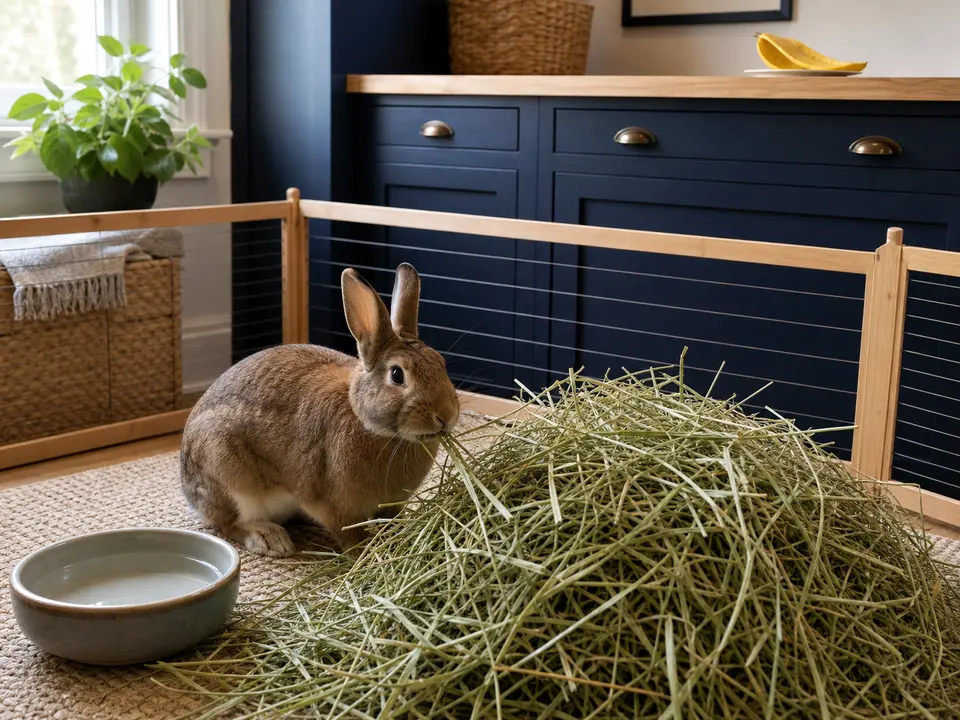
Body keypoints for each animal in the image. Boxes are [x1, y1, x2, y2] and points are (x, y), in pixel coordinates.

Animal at [179, 262, 460, 557]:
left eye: (441, 363)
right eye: (397, 375)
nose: (446, 415)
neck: (366, 420)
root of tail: (189, 492)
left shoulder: (391, 505)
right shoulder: (333, 507)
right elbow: (350, 535)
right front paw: (364, 553)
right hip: (227, 474)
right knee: (228, 523)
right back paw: (270, 539)